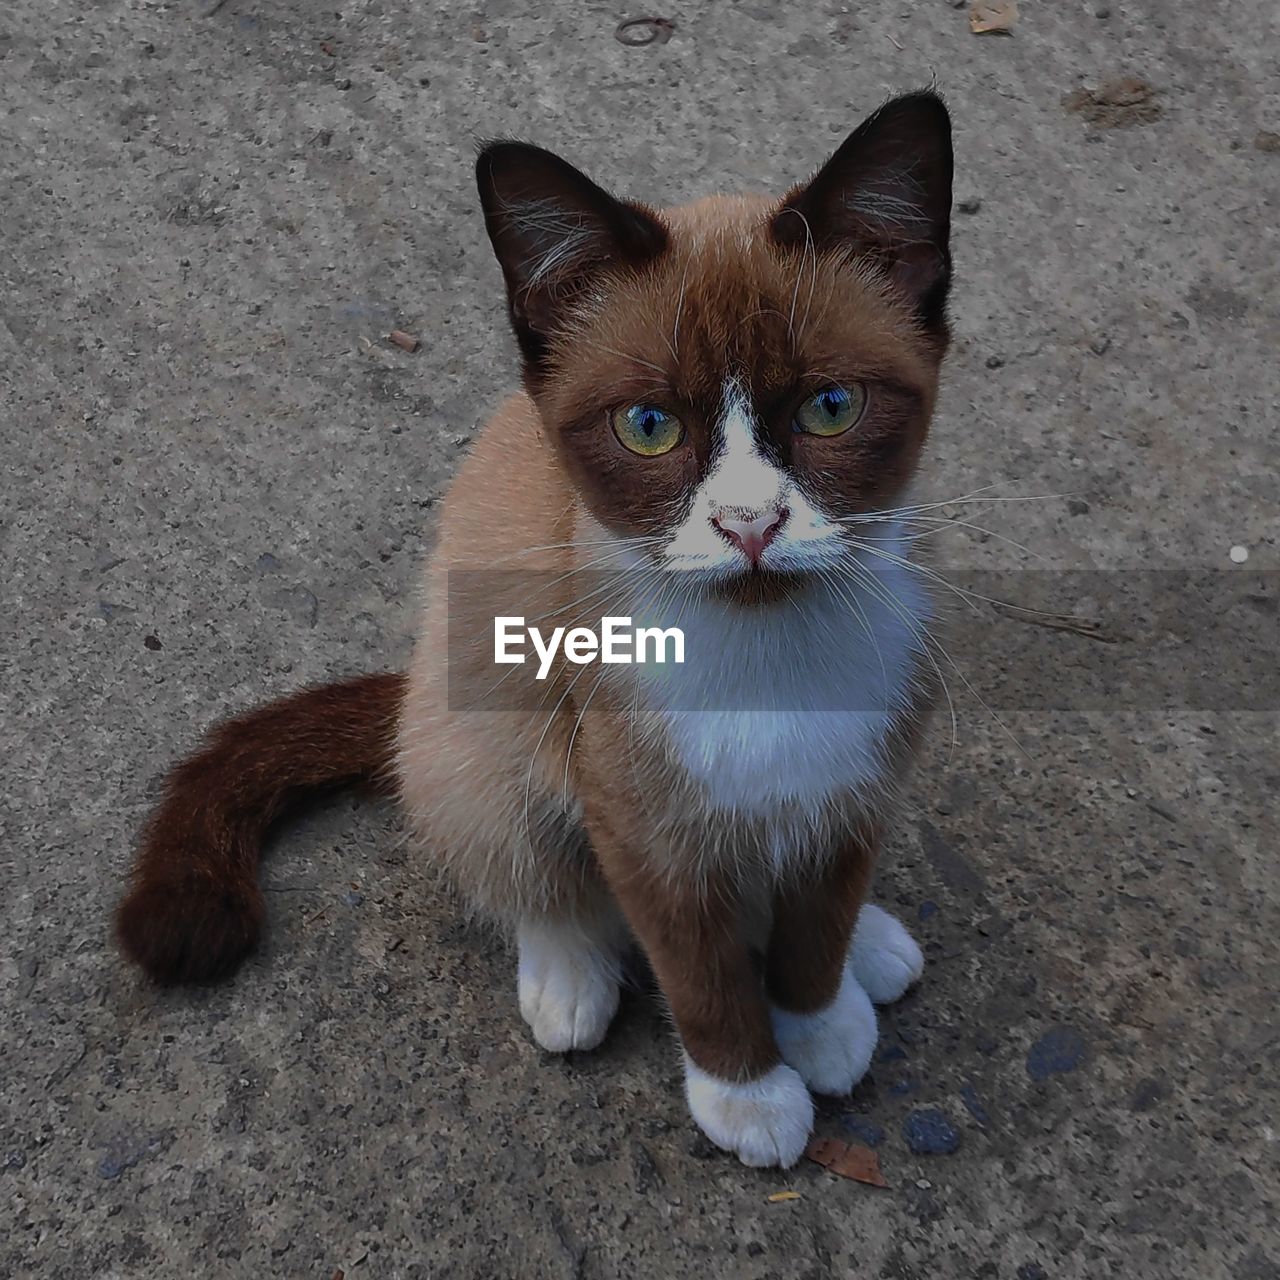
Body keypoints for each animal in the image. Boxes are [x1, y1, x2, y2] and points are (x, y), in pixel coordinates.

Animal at [120, 90, 957, 1172]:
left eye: (830, 407)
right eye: (648, 426)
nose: (749, 525)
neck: (768, 658)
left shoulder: (856, 786)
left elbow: (814, 926)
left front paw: (819, 1022)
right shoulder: (639, 822)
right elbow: (700, 971)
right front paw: (749, 1093)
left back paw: (872, 949)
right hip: (481, 716)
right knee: (528, 866)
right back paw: (568, 979)